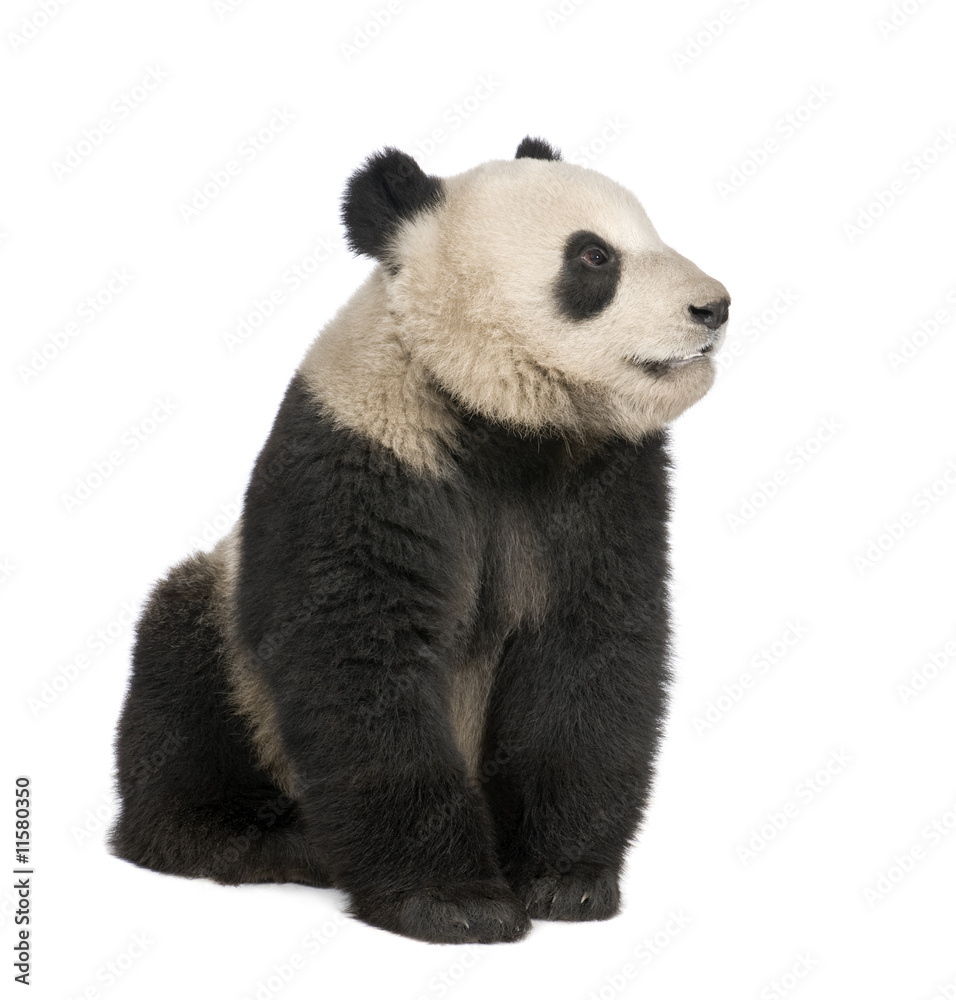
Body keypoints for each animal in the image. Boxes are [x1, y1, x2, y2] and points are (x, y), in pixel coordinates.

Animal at [110, 136, 730, 945]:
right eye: (594, 257)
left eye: (651, 232)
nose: (713, 306)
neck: (502, 421)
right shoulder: (365, 453)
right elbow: (363, 658)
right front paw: (453, 901)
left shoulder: (604, 479)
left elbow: (589, 645)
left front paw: (565, 878)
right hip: (224, 638)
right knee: (179, 687)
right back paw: (258, 840)